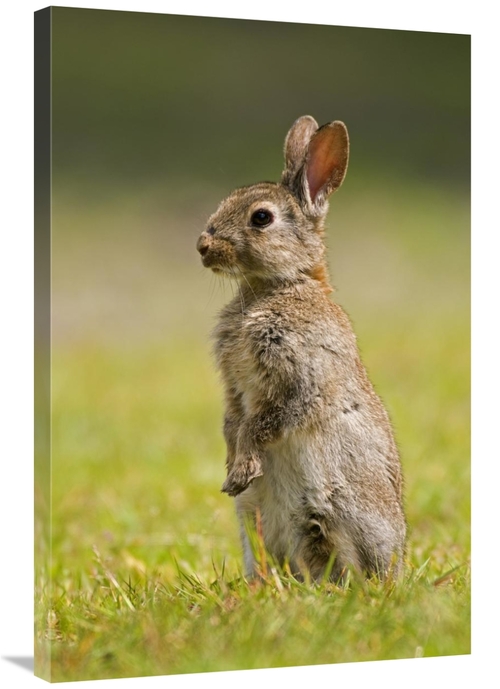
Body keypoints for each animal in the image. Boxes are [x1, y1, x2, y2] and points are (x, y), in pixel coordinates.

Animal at [196, 115, 406, 582]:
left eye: (261, 218)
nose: (203, 246)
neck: (280, 285)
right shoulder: (234, 387)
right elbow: (234, 421)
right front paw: (232, 470)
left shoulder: (301, 376)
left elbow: (264, 422)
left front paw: (243, 468)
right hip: (253, 519)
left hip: (331, 509)